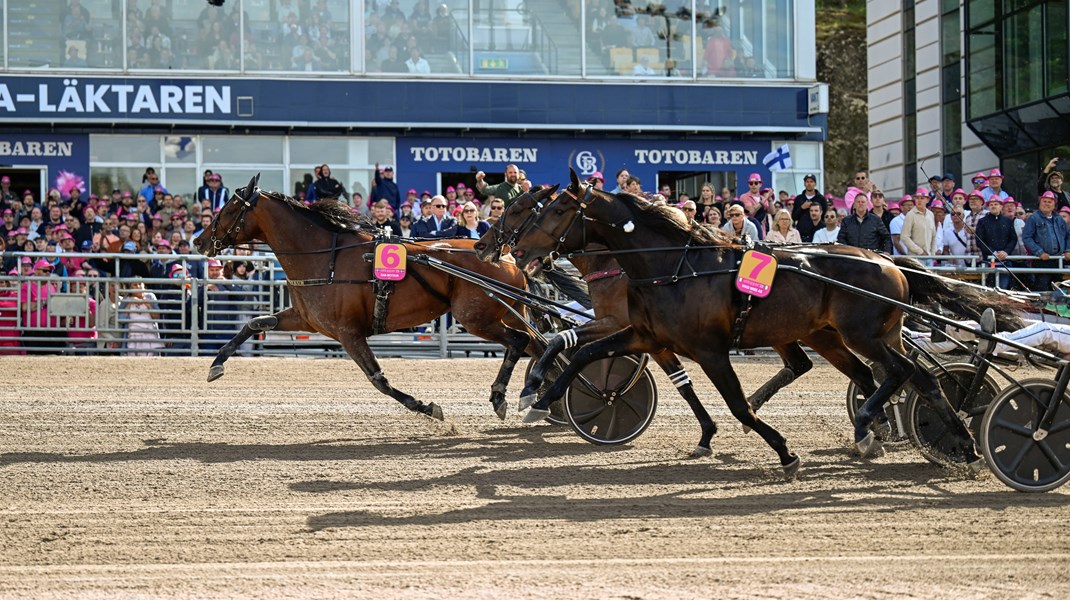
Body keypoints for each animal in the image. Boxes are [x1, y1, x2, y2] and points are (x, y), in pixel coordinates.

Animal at [192, 174, 539, 421]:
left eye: (229, 208)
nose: (199, 241)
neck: (326, 257)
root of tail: (505, 255)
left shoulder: (348, 333)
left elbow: (378, 380)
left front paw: (426, 408)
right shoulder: (307, 319)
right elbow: (255, 323)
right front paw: (216, 364)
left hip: (476, 317)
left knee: (520, 341)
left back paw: (501, 396)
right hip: (505, 311)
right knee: (538, 345)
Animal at [500, 166, 1018, 472]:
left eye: (558, 209)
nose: (517, 250)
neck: (674, 266)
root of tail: (886, 260)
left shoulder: (709, 349)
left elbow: (736, 406)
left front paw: (784, 452)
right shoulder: (646, 335)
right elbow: (582, 353)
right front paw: (539, 399)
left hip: (863, 335)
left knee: (903, 372)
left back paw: (886, 429)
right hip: (843, 336)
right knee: (913, 378)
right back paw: (942, 440)